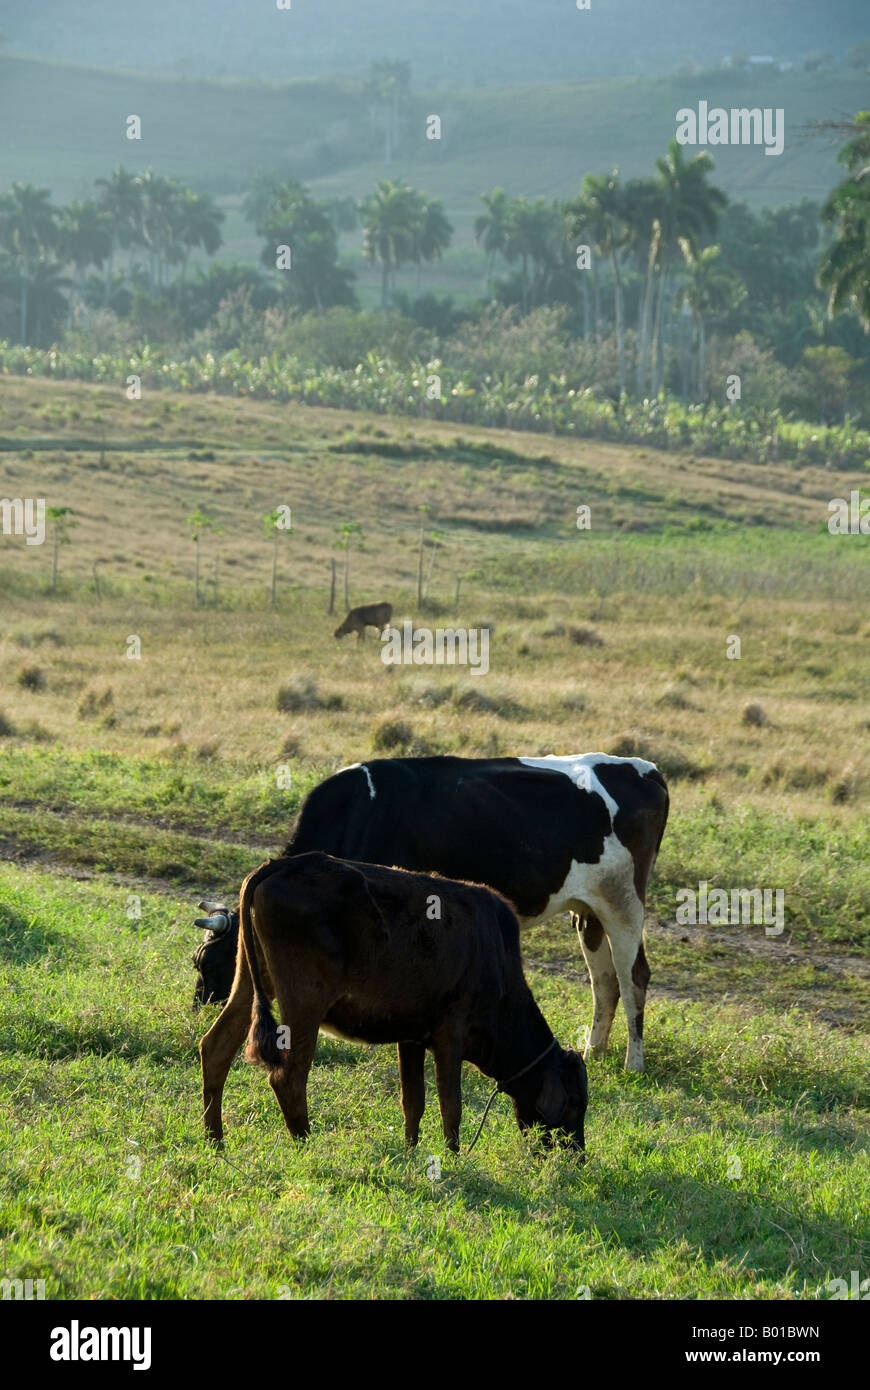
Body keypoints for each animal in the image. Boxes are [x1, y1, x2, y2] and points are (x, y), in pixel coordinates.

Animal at [192, 752, 669, 1072]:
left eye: (212, 965)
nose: (197, 1009)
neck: (359, 811)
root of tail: (646, 769)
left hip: (624, 902)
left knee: (634, 976)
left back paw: (633, 1063)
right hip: (589, 910)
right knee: (604, 981)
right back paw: (594, 1052)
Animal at [198, 851, 587, 1153]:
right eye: (573, 1103)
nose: (577, 1157)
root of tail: (285, 863)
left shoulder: (411, 1034)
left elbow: (413, 1102)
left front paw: (411, 1153)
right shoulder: (452, 1029)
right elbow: (451, 1104)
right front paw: (453, 1158)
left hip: (252, 981)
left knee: (216, 1048)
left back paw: (216, 1142)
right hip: (304, 999)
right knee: (289, 1075)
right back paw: (305, 1145)